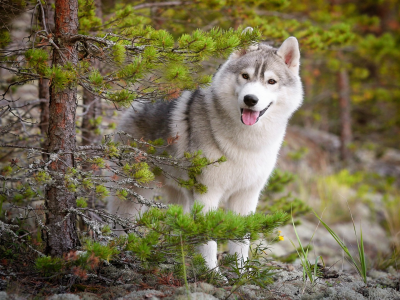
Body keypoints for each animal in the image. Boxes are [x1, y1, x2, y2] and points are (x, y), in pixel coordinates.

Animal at [109, 36, 304, 270]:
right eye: (245, 76)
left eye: (271, 81)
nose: (250, 99)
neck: (246, 143)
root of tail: (137, 103)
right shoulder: (207, 194)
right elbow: (209, 242)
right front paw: (211, 273)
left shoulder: (246, 198)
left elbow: (241, 244)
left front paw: (240, 274)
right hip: (134, 196)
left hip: (180, 199)